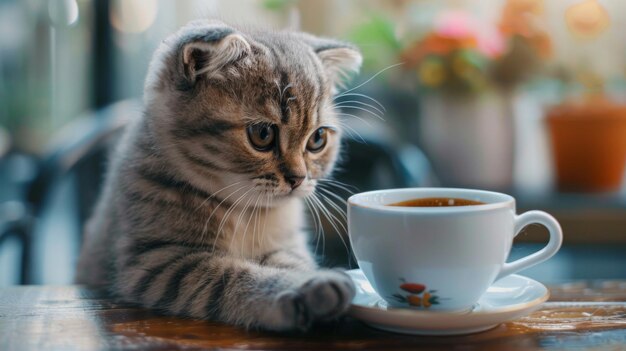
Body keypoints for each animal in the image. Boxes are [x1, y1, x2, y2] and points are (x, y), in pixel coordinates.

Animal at [75, 20, 364, 332]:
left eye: (317, 139)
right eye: (262, 134)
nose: (298, 178)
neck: (247, 214)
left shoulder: (286, 245)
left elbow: (291, 260)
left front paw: (306, 278)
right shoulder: (155, 261)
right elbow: (229, 276)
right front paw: (301, 287)